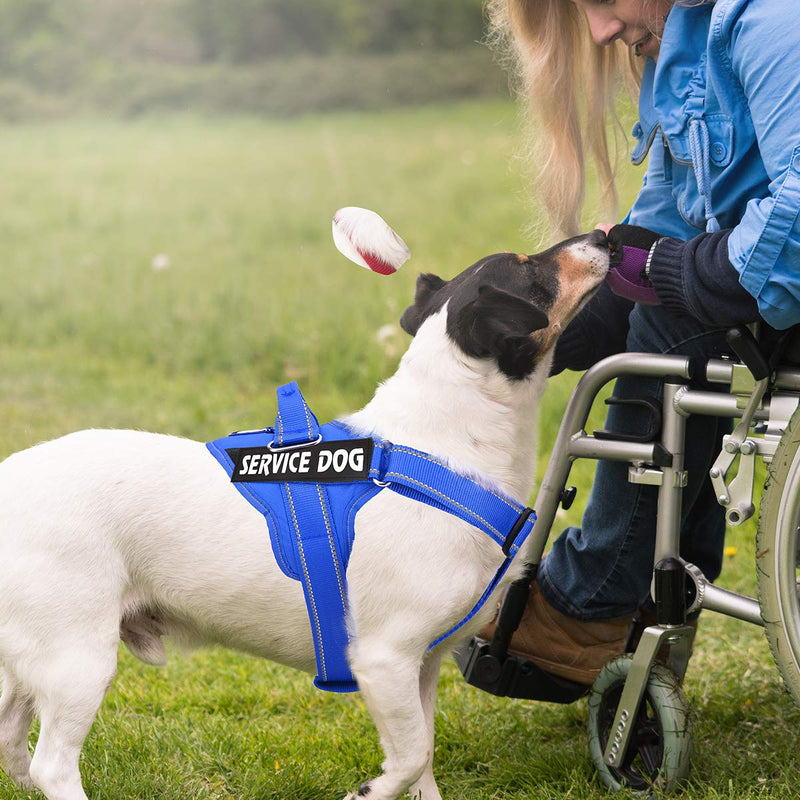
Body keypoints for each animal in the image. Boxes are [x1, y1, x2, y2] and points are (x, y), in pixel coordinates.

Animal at [0, 228, 608, 796]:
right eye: (529, 267)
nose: (605, 235)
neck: (443, 445)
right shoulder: (384, 660)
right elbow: (410, 758)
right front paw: (369, 791)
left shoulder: (425, 664)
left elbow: (425, 760)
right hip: (77, 659)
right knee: (52, 764)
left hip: (26, 662)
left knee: (11, 740)